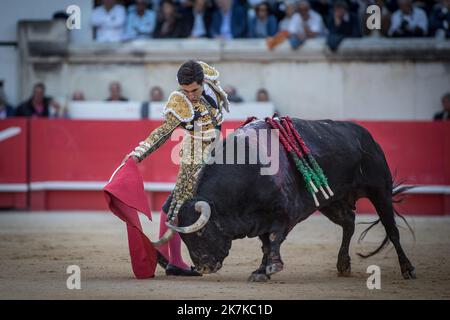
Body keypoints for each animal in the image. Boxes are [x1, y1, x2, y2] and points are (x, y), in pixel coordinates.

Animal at [172, 119, 414, 282]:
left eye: (201, 232)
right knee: (349, 222)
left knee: (392, 230)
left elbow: (274, 239)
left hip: (380, 190)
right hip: (331, 201)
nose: (202, 267)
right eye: (184, 239)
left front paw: (272, 268)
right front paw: (261, 271)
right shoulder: (260, 219)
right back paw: (343, 264)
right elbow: (265, 244)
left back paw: (407, 269)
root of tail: (366, 136)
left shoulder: (285, 213)